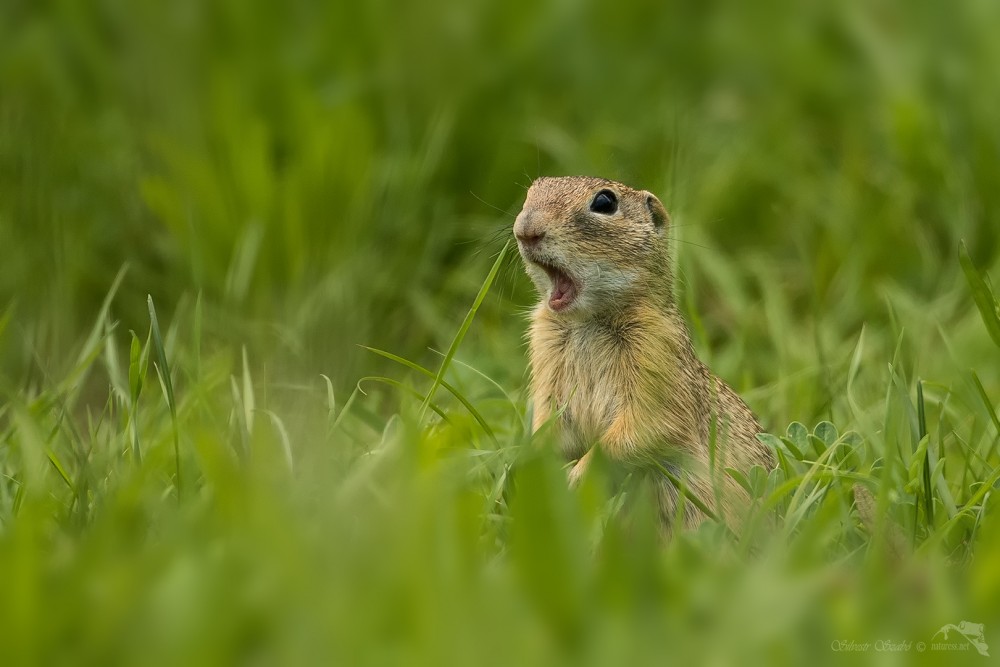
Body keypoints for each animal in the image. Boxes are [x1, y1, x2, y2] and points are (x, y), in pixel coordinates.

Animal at [516, 176, 772, 532]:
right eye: (531, 191)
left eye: (605, 202)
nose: (525, 230)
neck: (587, 320)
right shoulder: (547, 369)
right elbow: (550, 425)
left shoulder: (656, 357)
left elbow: (642, 428)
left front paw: (575, 477)